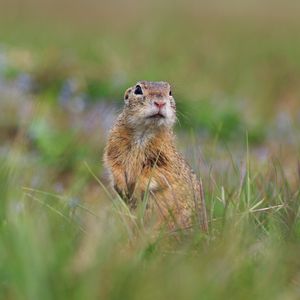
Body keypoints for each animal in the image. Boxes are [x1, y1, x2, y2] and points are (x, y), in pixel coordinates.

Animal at [103, 80, 209, 232]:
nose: (160, 103)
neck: (144, 131)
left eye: (170, 92)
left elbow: (157, 173)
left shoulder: (165, 157)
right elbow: (114, 164)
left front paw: (137, 191)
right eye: (138, 89)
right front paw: (122, 187)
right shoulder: (114, 145)